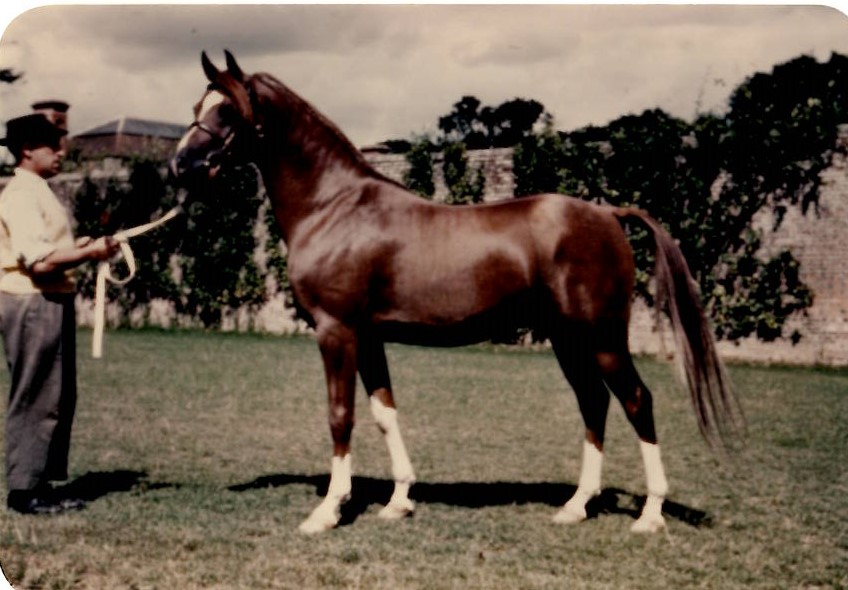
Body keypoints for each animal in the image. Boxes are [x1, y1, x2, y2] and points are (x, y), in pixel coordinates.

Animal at [171, 51, 744, 536]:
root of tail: (608, 214)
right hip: (568, 340)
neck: (334, 206)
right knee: (594, 403)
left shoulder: (337, 332)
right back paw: (577, 506)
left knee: (636, 400)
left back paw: (650, 514)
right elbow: (385, 413)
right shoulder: (368, 338)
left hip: (602, 338)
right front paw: (398, 501)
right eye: (197, 106)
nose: (180, 165)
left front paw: (328, 511)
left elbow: (341, 415)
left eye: (227, 110)